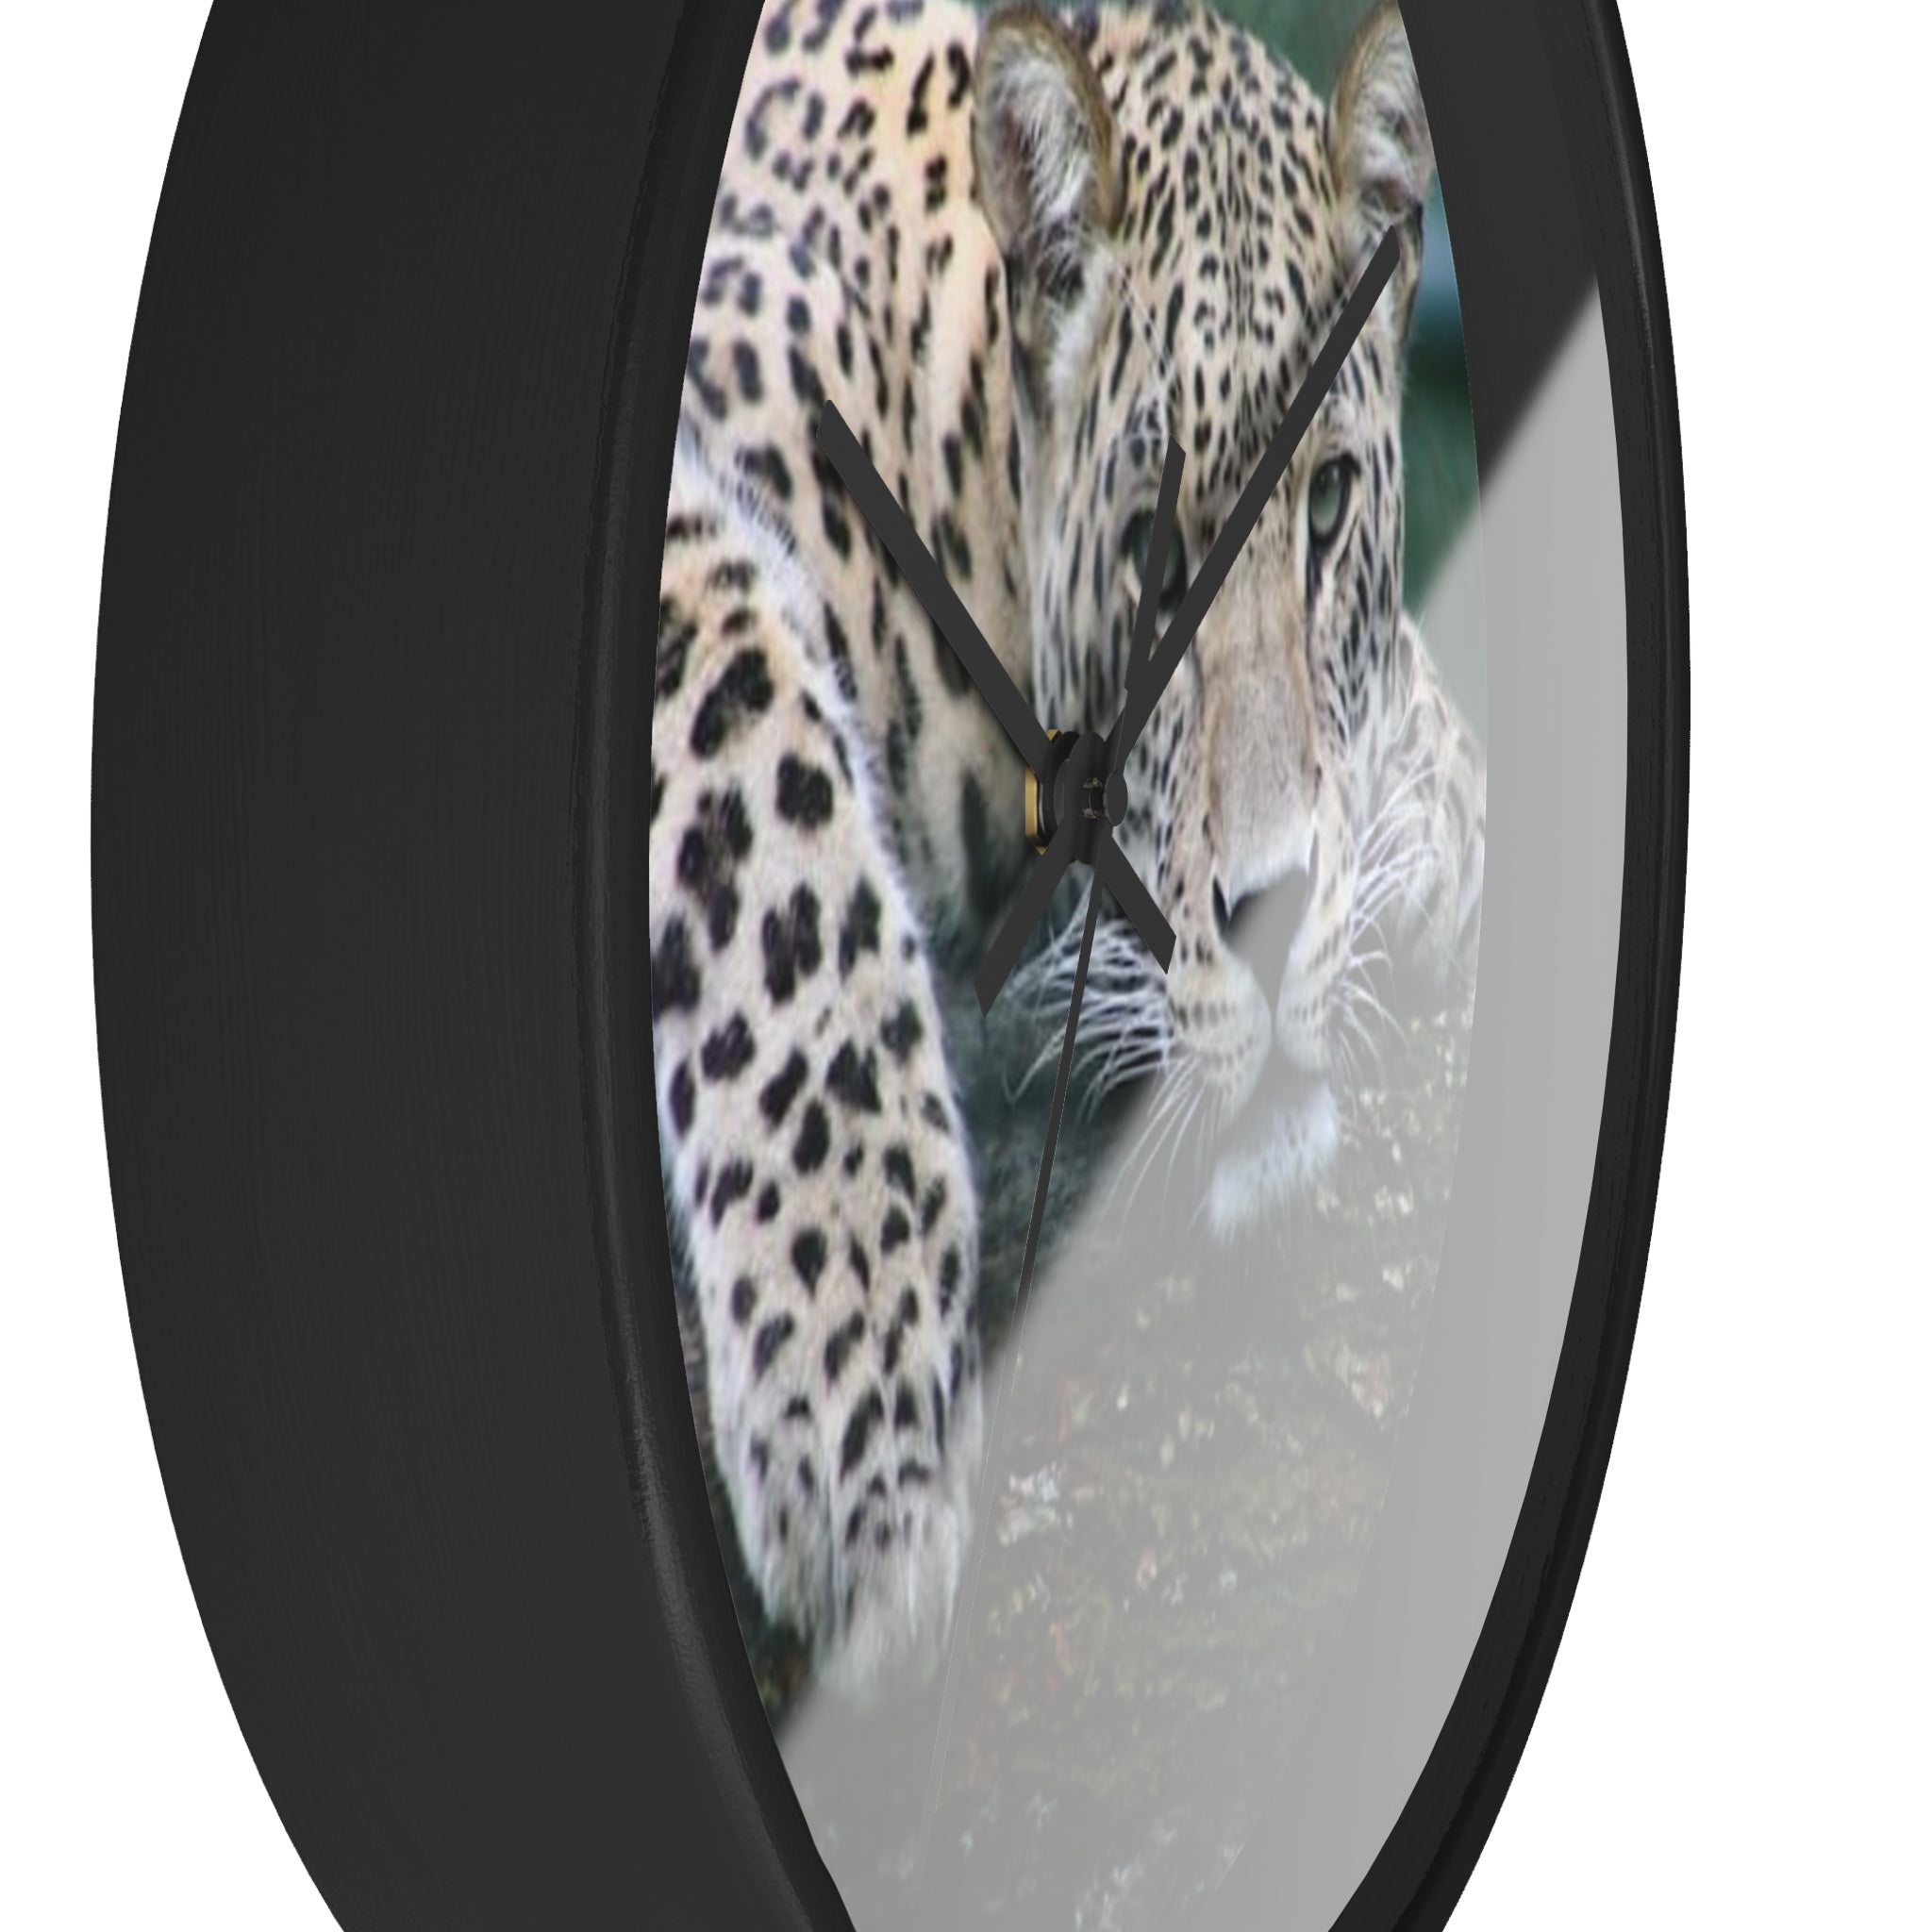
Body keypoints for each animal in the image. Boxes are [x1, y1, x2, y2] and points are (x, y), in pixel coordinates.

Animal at [650, 0, 1486, 1700]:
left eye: (1326, 507)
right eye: (1151, 550)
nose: (1273, 913)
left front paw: (1422, 808)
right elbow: (753, 736)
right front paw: (857, 1384)